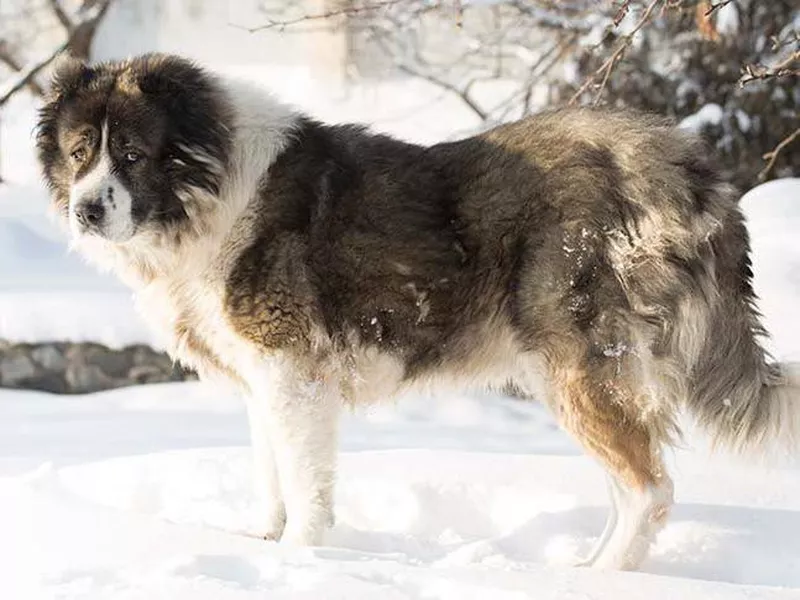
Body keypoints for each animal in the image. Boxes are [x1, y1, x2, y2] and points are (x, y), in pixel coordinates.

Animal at [37, 54, 800, 568]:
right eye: (79, 153)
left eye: (132, 155)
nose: (86, 210)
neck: (211, 190)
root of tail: (678, 162)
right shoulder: (262, 382)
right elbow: (270, 475)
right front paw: (263, 543)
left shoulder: (294, 376)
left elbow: (304, 483)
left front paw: (300, 559)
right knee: (629, 487)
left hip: (577, 368)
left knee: (649, 489)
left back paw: (596, 580)